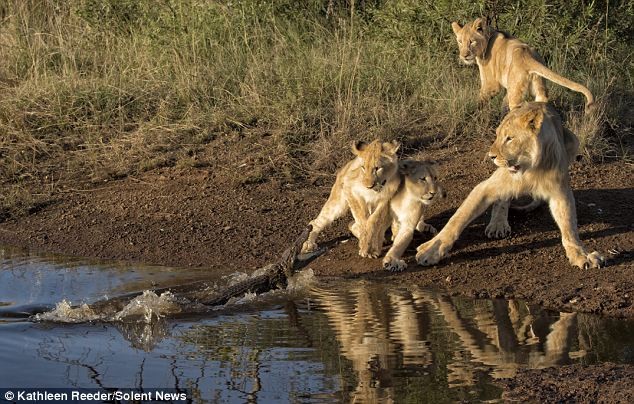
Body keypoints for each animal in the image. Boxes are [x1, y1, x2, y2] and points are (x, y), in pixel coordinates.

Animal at [414, 102, 604, 270]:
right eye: (497, 136)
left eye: (510, 138)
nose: (491, 156)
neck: (530, 170)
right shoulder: (484, 188)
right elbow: (457, 219)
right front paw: (431, 249)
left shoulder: (560, 193)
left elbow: (569, 227)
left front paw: (580, 254)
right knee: (502, 199)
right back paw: (498, 225)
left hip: (574, 141)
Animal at [450, 18, 592, 110]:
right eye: (460, 41)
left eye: (471, 42)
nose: (464, 55)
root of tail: (526, 55)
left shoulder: (491, 84)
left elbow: (481, 99)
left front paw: (471, 111)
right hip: (538, 84)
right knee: (542, 99)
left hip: (516, 90)